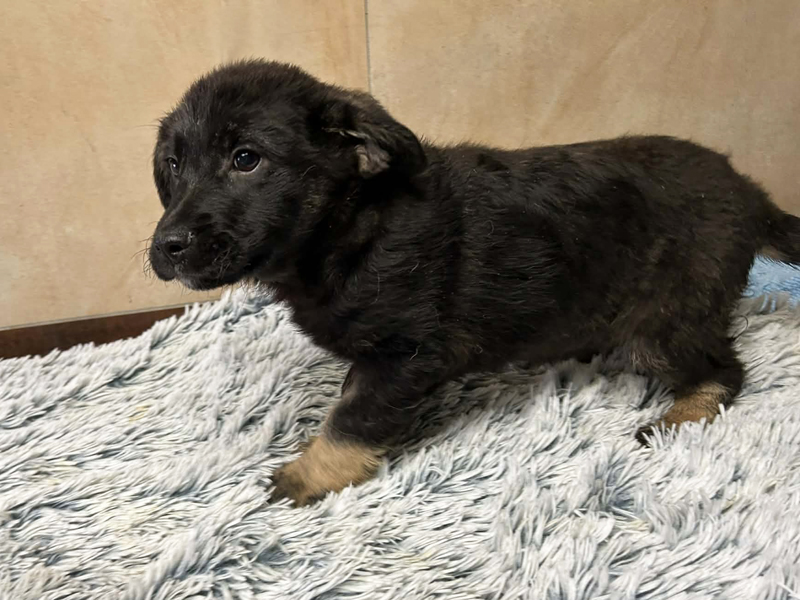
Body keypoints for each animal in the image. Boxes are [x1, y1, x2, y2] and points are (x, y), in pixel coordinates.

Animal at [148, 59, 800, 506]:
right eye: (173, 165)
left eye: (246, 159)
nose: (166, 248)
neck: (348, 231)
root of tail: (751, 194)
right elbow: (350, 403)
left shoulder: (408, 354)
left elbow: (350, 420)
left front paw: (306, 475)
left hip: (665, 318)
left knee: (725, 371)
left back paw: (680, 416)